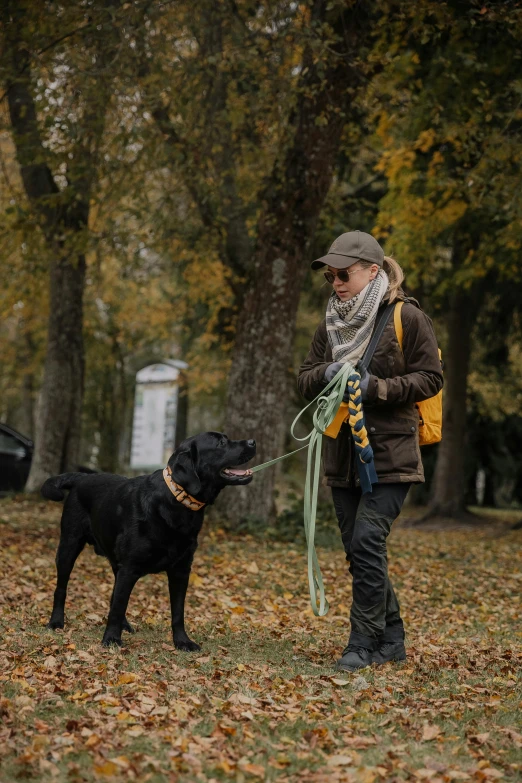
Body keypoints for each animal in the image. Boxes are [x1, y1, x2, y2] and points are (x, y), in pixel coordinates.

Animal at [40, 434, 254, 648]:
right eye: (221, 443)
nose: (253, 442)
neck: (177, 500)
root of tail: (83, 477)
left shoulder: (181, 570)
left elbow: (177, 612)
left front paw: (182, 641)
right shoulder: (129, 568)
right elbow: (119, 605)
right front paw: (111, 639)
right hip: (69, 547)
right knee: (62, 589)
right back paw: (56, 622)